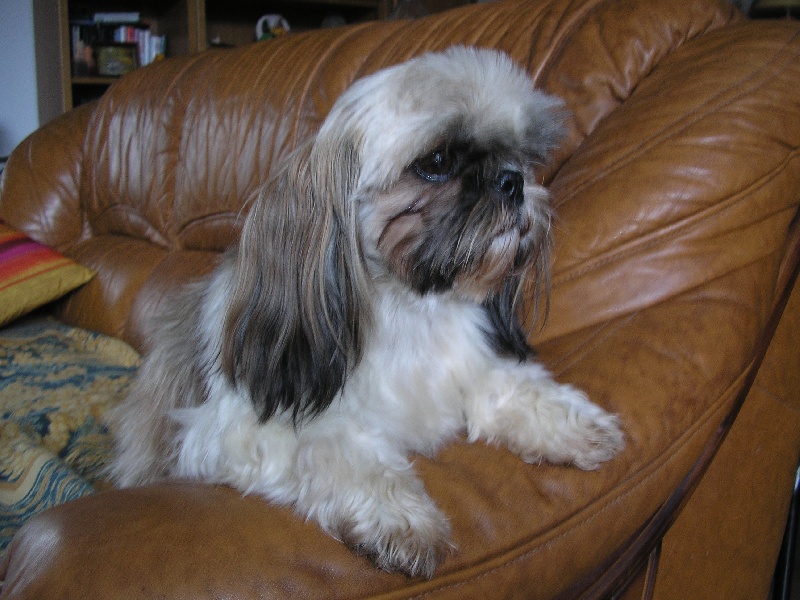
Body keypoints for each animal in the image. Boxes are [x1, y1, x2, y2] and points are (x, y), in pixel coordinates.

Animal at [108, 46, 624, 579]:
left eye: (523, 156)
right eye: (437, 160)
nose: (512, 181)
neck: (409, 310)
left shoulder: (474, 366)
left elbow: (513, 389)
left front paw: (571, 423)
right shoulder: (236, 429)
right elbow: (337, 447)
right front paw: (400, 517)